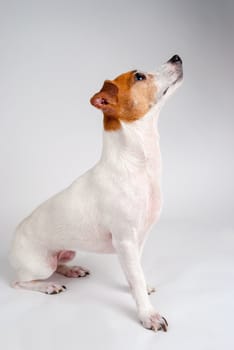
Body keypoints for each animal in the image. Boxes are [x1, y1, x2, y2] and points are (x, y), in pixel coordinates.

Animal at [9, 54, 183, 330]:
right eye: (139, 76)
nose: (176, 57)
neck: (136, 166)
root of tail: (13, 239)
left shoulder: (138, 240)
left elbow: (136, 274)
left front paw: (140, 289)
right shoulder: (125, 240)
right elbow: (135, 276)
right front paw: (148, 314)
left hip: (66, 251)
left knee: (59, 263)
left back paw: (72, 270)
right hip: (39, 264)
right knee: (21, 281)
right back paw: (49, 286)